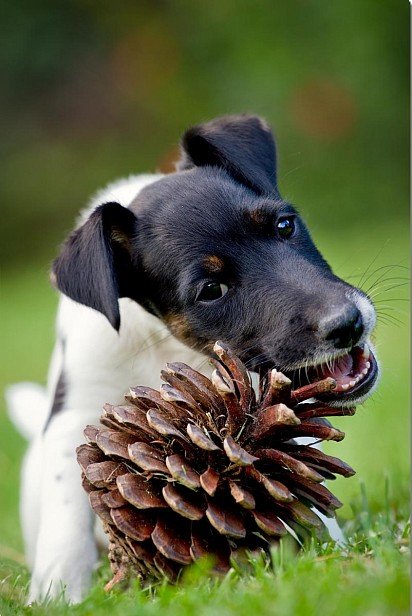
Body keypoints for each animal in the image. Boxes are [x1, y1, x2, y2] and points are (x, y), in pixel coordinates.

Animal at [6, 115, 380, 600]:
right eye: (211, 290)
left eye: (284, 225)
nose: (347, 324)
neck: (163, 344)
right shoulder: (73, 413)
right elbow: (65, 517)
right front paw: (58, 594)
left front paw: (326, 551)